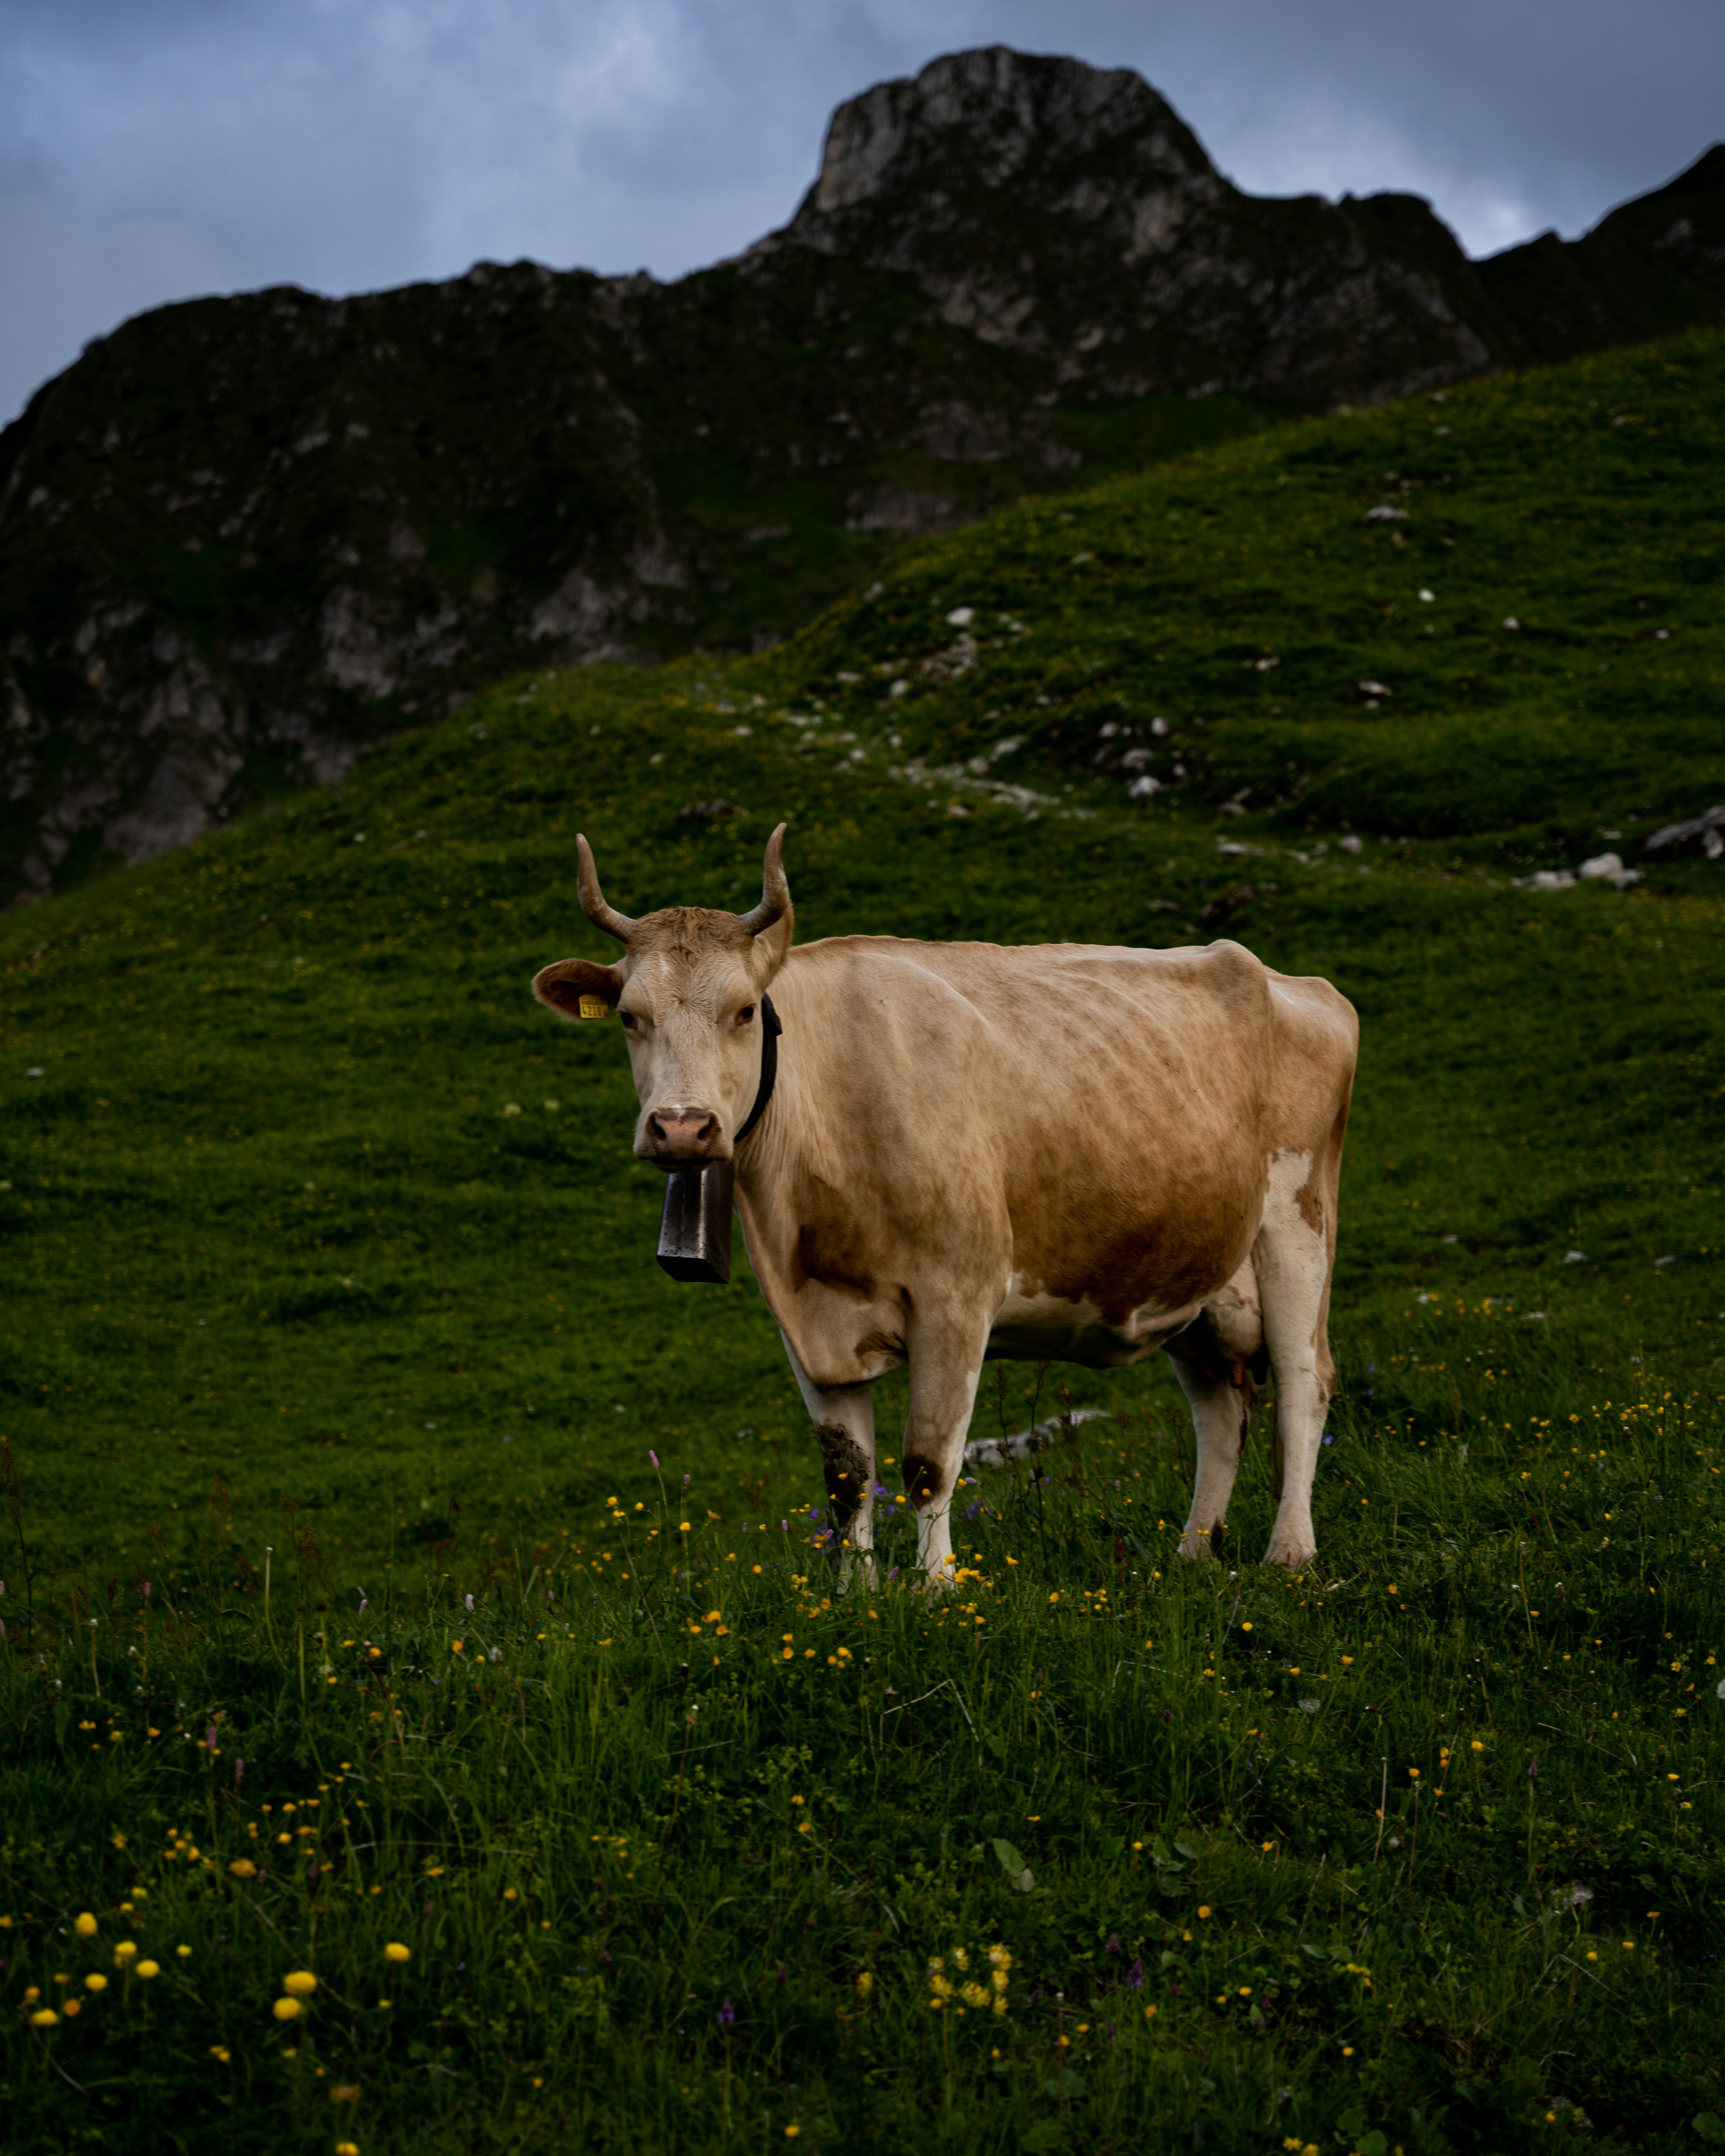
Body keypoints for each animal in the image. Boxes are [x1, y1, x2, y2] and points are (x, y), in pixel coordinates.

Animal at [533, 825, 1357, 1584]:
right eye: (630, 1017)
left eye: (743, 1012)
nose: (681, 1128)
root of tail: (1292, 981)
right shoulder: (805, 1322)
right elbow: (847, 1477)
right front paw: (856, 1597)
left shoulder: (957, 1296)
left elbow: (929, 1463)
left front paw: (937, 1592)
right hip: (1194, 1274)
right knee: (1221, 1411)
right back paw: (1191, 1556)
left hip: (1296, 1225)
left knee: (1303, 1381)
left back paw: (1291, 1553)